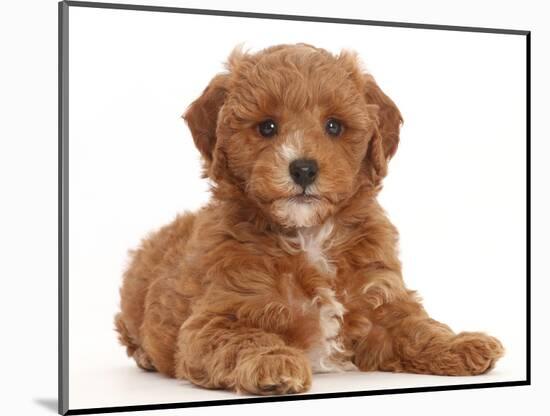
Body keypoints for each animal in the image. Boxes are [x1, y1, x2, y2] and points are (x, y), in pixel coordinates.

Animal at [115, 44, 504, 394]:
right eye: (267, 127)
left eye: (333, 126)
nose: (303, 168)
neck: (310, 234)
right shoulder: (217, 318)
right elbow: (244, 339)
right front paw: (273, 362)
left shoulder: (381, 299)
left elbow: (417, 328)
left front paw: (461, 344)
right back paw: (145, 355)